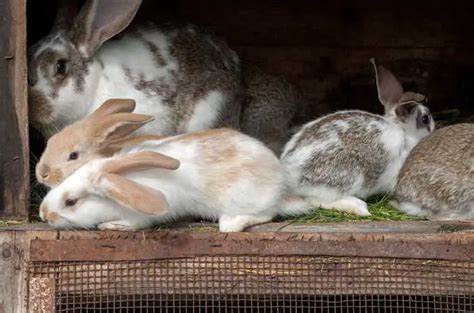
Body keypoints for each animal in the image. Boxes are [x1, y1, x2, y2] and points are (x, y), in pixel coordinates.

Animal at [39, 127, 312, 232]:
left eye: (71, 202)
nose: (43, 215)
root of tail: (281, 188)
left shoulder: (141, 215)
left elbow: (134, 224)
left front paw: (111, 226)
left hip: (244, 201)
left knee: (265, 214)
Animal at [280, 58, 436, 214]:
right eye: (425, 119)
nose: (434, 129)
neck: (405, 133)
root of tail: (289, 174)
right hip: (346, 178)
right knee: (314, 201)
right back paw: (359, 207)